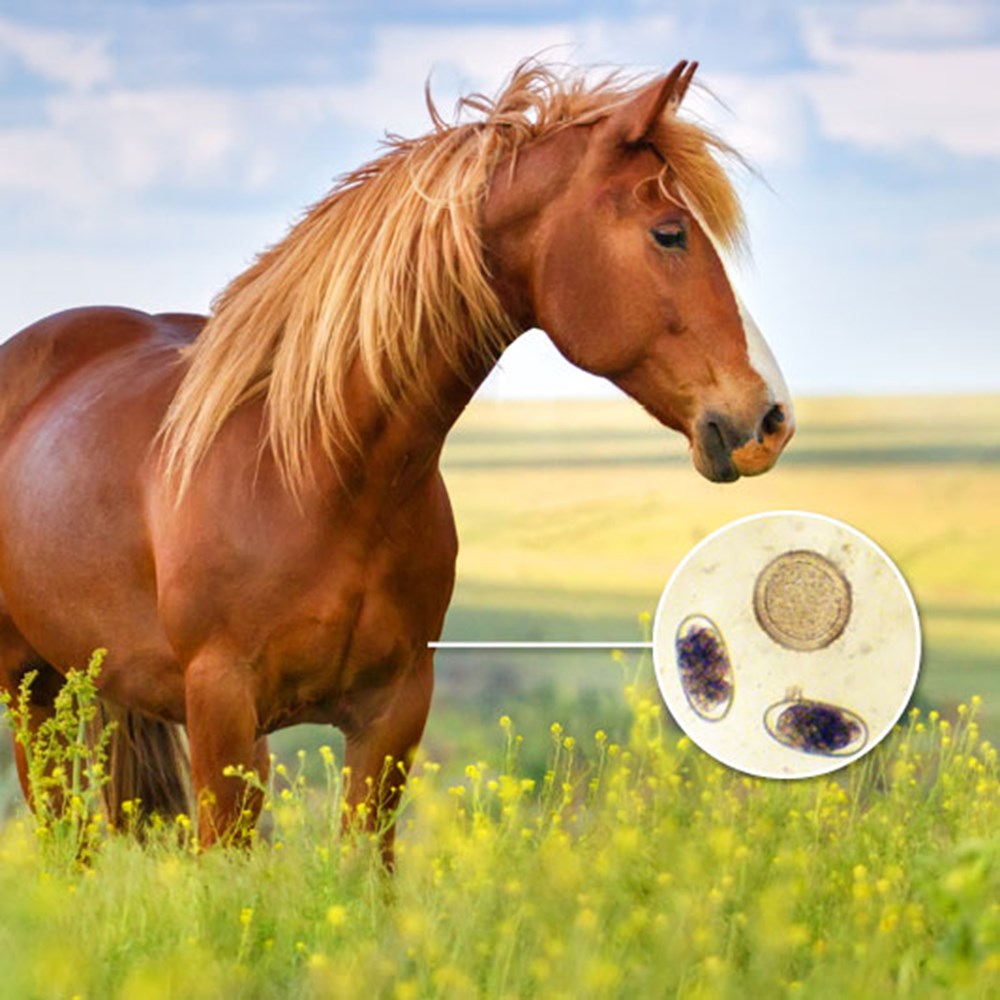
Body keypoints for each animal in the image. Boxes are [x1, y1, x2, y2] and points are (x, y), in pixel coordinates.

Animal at [0, 59, 794, 861]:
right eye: (669, 234)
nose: (770, 418)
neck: (319, 477)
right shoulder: (222, 712)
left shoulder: (394, 712)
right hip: (31, 692)